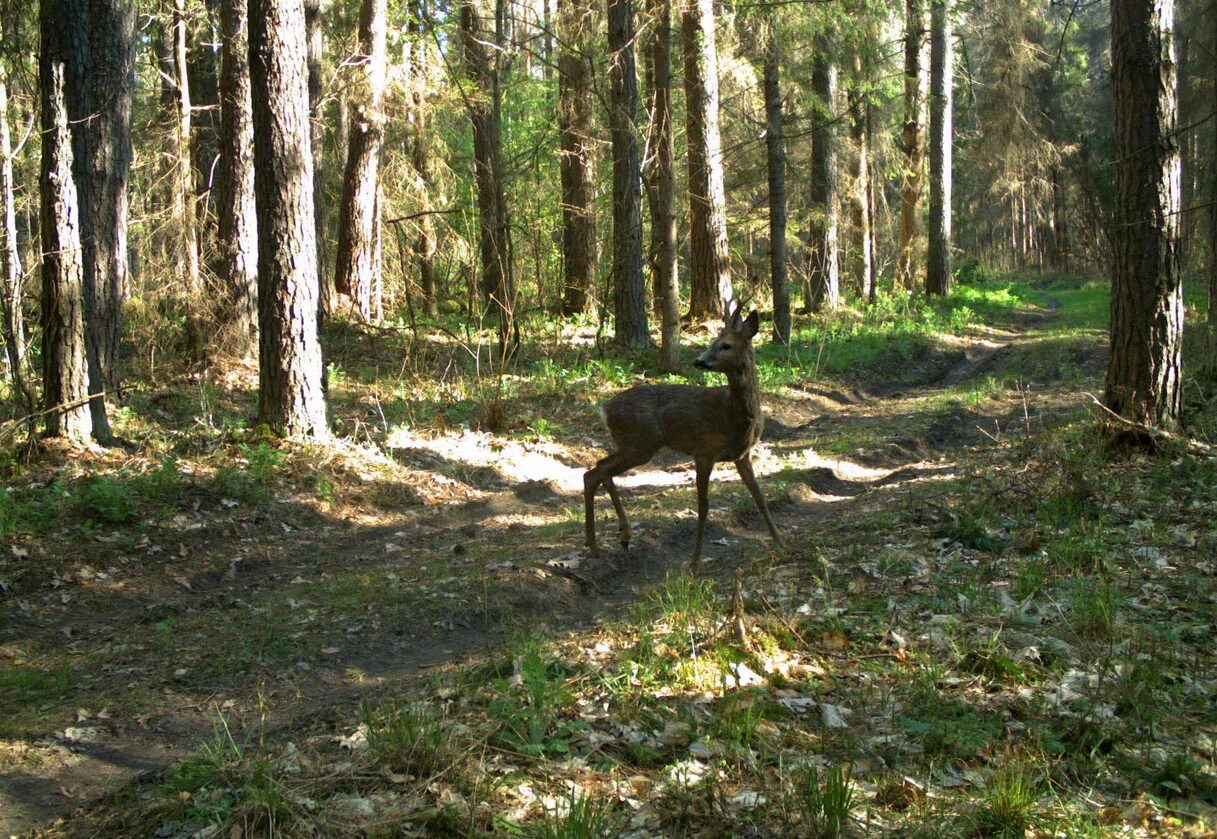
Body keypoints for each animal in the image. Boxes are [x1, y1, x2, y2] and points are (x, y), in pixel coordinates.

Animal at [584, 304, 783, 572]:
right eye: (713, 341)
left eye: (726, 345)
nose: (699, 361)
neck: (735, 416)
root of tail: (604, 408)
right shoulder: (704, 452)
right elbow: (703, 506)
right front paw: (695, 563)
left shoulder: (741, 455)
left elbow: (760, 497)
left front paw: (780, 543)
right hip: (640, 443)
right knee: (597, 471)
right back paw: (607, 541)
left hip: (634, 445)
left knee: (598, 469)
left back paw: (612, 539)